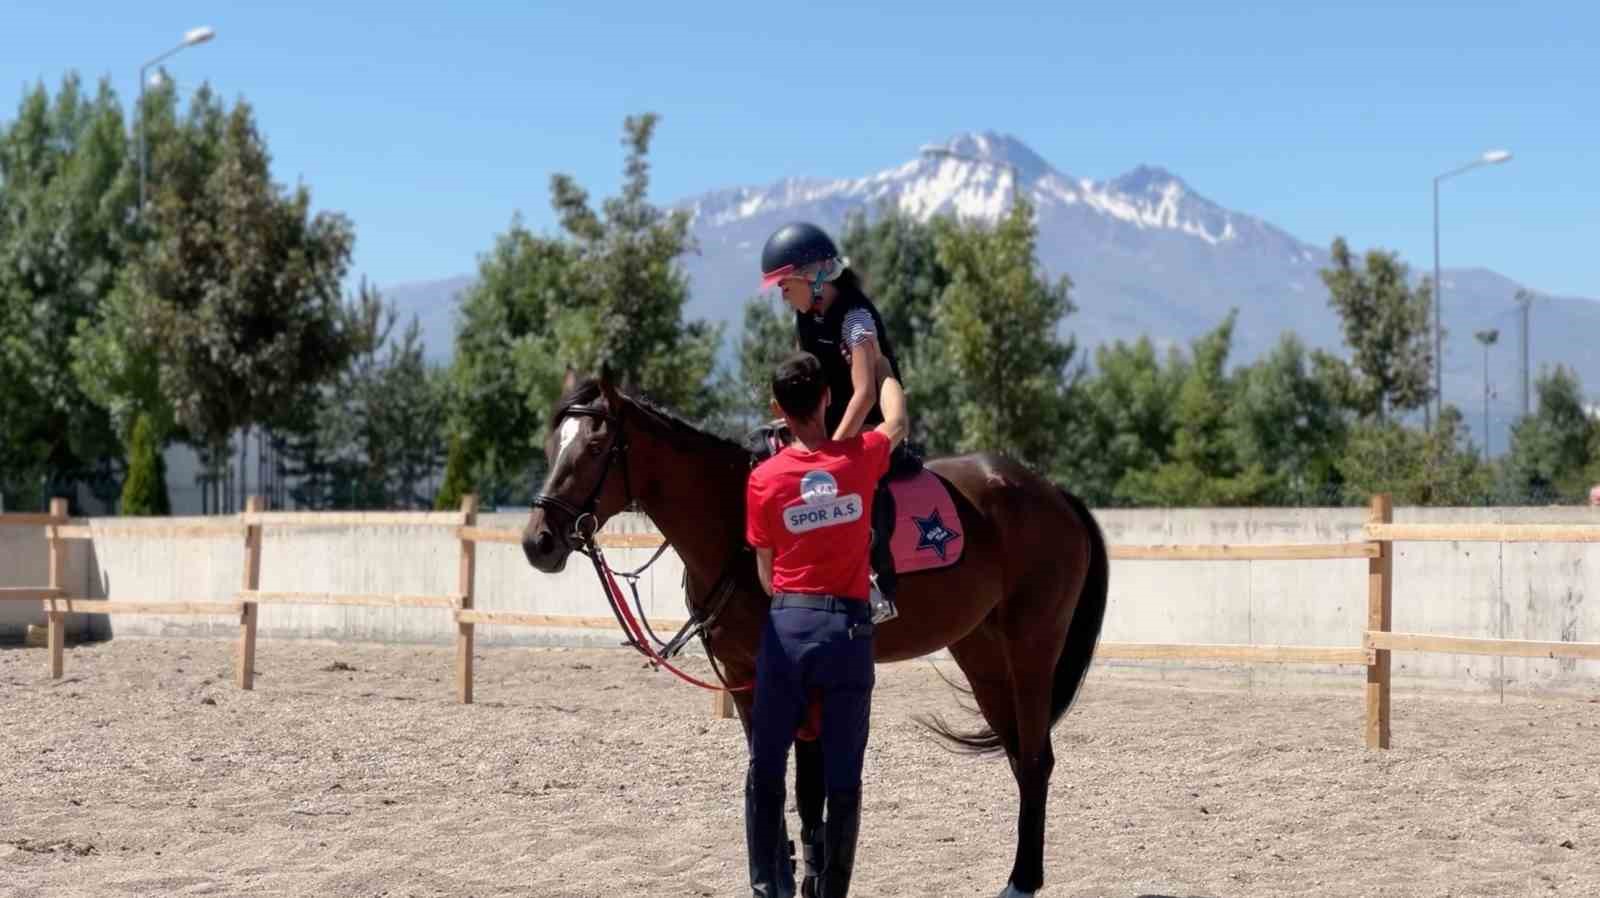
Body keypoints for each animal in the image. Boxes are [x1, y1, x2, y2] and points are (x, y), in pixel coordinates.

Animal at [518, 372, 1107, 896]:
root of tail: (1052, 492)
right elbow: (767, 775)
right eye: (550, 446)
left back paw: (1022, 880)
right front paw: (780, 873)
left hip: (1032, 648)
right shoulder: (743, 674)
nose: (538, 543)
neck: (736, 520)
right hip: (980, 653)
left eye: (596, 447)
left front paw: (811, 876)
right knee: (1019, 755)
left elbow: (807, 784)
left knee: (1037, 758)